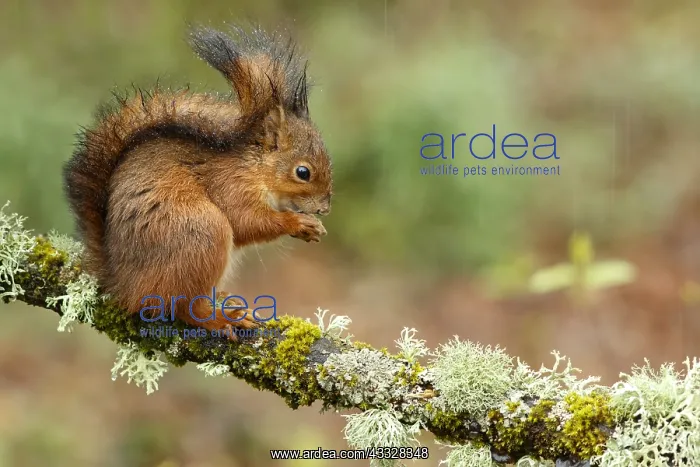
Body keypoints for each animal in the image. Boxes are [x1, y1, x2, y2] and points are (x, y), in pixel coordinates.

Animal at [62, 24, 333, 339]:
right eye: (303, 172)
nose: (325, 208)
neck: (254, 167)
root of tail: (123, 285)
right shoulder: (230, 185)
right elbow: (246, 222)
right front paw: (298, 223)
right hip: (200, 234)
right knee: (182, 306)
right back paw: (219, 317)